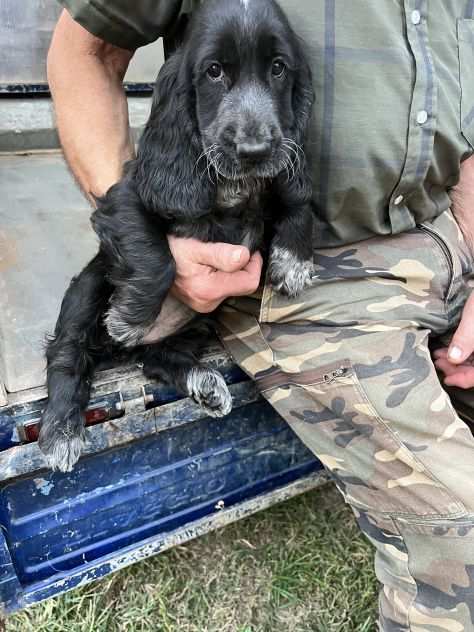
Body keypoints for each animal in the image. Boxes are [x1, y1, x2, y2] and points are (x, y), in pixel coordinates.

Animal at [39, 0, 314, 472]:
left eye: (278, 69)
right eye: (214, 72)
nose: (255, 151)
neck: (233, 185)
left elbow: (296, 199)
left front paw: (293, 263)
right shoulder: (125, 198)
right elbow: (157, 258)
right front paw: (129, 319)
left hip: (200, 322)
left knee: (159, 360)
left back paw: (204, 382)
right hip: (90, 287)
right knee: (67, 354)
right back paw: (61, 430)